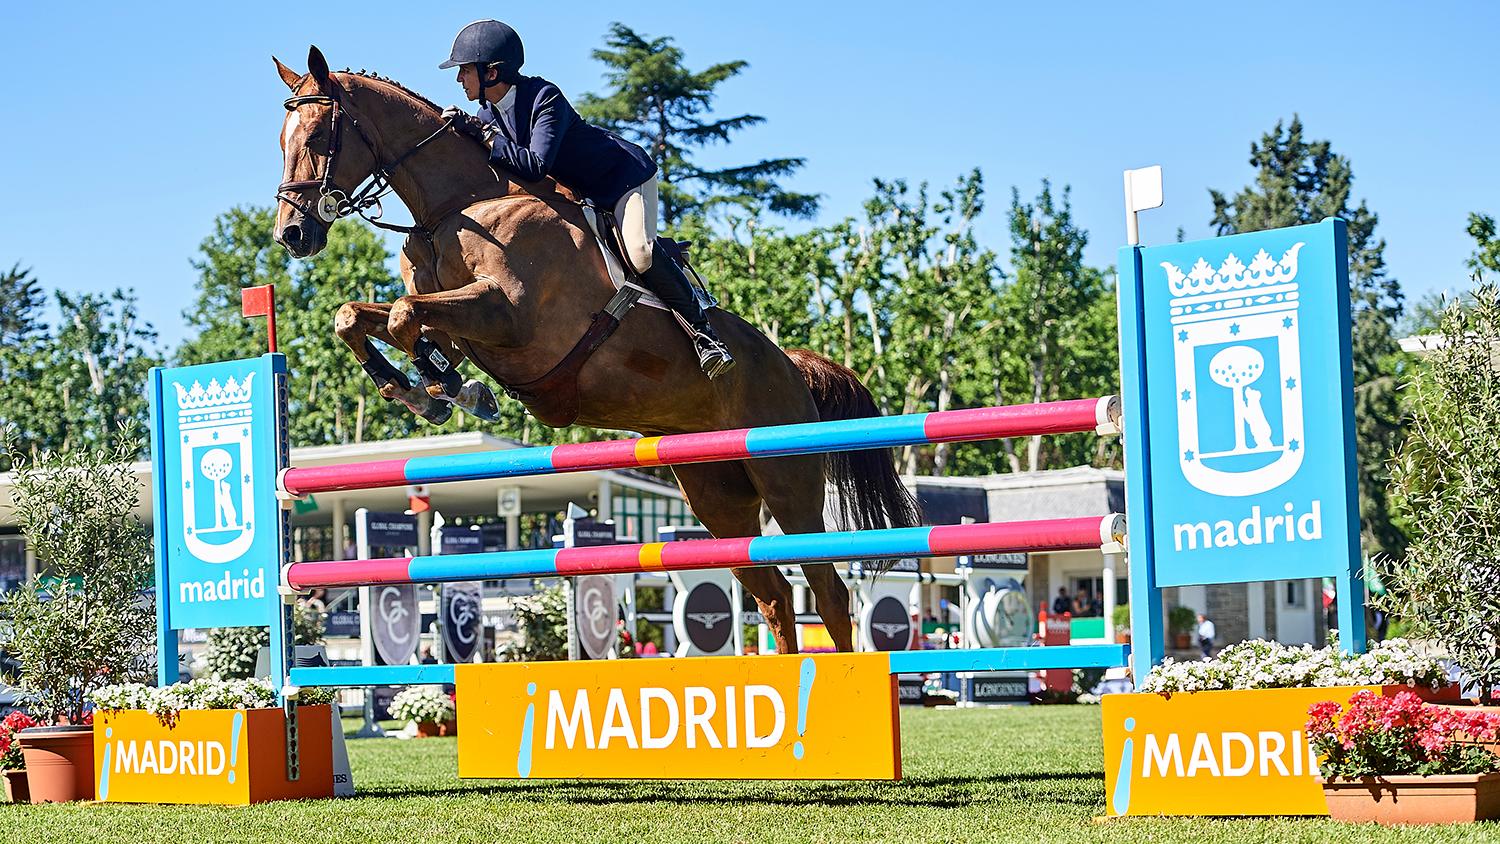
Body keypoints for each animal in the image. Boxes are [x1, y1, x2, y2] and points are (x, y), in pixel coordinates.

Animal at [274, 44, 918, 653]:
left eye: (317, 136)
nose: (291, 235)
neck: (458, 206)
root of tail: (793, 367)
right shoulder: (459, 324)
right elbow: (361, 316)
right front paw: (427, 390)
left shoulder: (510, 316)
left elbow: (406, 315)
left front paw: (449, 391)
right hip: (716, 496)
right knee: (775, 595)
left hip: (786, 480)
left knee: (828, 592)